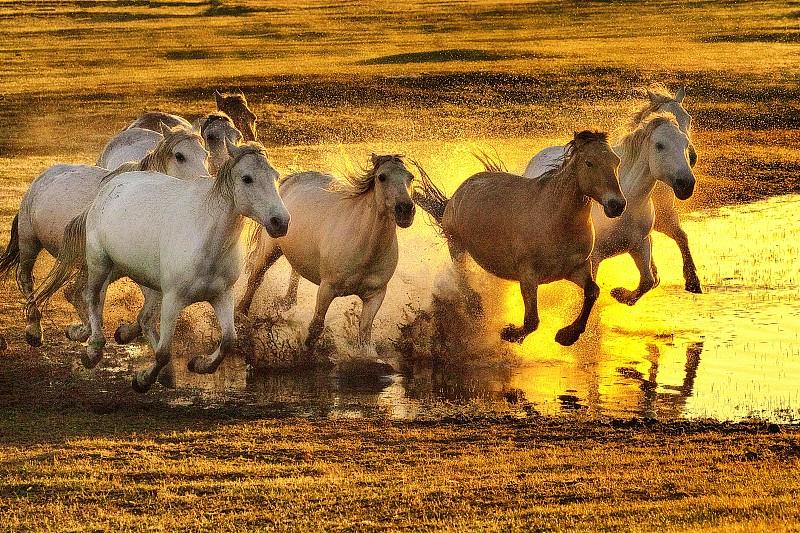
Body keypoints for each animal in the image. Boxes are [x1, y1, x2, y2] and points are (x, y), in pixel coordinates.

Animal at [0, 126, 209, 347]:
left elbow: (147, 312)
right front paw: (84, 333)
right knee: (26, 279)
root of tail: (42, 177)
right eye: (179, 156)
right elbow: (86, 299)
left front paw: (122, 333)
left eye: (205, 154)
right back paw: (33, 329)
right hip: (29, 243)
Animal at [30, 141, 290, 392]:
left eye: (275, 176)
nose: (281, 222)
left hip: (136, 275)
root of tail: (109, 188)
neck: (206, 240)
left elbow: (228, 340)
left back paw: (128, 343)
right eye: (247, 178)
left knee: (141, 316)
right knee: (91, 297)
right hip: (100, 264)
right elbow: (164, 352)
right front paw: (142, 381)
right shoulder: (173, 299)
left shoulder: (222, 295)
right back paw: (93, 350)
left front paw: (199, 364)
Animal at [237, 154, 416, 358]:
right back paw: (241, 313)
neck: (365, 249)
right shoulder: (327, 289)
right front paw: (305, 351)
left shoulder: (376, 295)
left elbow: (364, 333)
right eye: (382, 177)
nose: (405, 210)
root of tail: (290, 180)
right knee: (256, 279)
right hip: (270, 249)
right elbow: (316, 326)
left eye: (410, 177)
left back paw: (288, 303)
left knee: (295, 272)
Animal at [414, 131, 624, 346]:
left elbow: (592, 291)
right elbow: (532, 321)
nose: (617, 205)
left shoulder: (575, 269)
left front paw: (567, 335)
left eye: (616, 161)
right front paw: (509, 333)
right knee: (461, 276)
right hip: (456, 244)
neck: (555, 220)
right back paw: (475, 308)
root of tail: (456, 194)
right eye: (589, 163)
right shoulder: (528, 276)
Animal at [525, 85, 702, 293]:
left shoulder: (654, 229)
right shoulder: (594, 257)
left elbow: (674, 247)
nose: (686, 183)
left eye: (689, 119)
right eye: (660, 145)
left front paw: (692, 281)